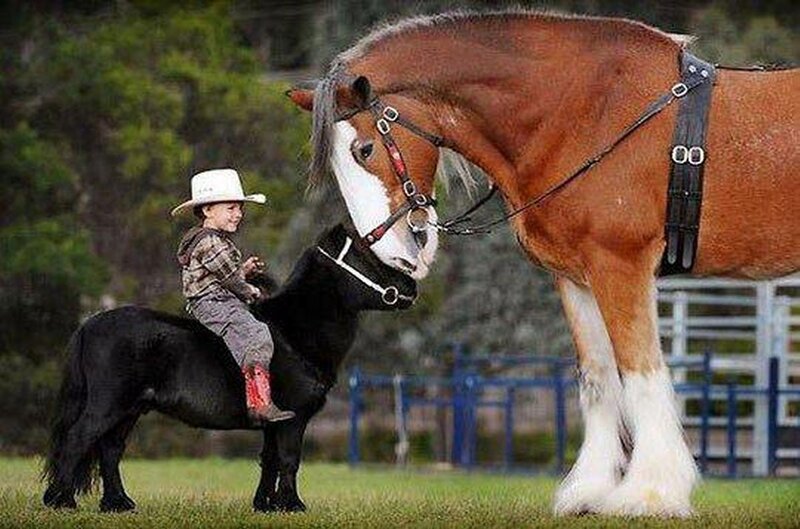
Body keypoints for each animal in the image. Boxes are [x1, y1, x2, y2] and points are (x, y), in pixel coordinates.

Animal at [42, 223, 417, 513]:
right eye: (366, 258)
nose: (411, 288)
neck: (294, 333)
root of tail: (90, 323)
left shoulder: (274, 420)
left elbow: (269, 460)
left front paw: (266, 505)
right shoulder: (294, 418)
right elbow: (289, 459)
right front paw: (293, 505)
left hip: (130, 409)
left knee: (110, 450)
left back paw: (117, 504)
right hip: (109, 404)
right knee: (77, 440)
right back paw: (61, 501)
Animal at [286, 9, 799, 517]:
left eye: (365, 149)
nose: (393, 250)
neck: (584, 113)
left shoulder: (621, 265)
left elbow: (641, 371)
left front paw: (650, 493)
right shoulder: (576, 277)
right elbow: (597, 378)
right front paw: (590, 490)